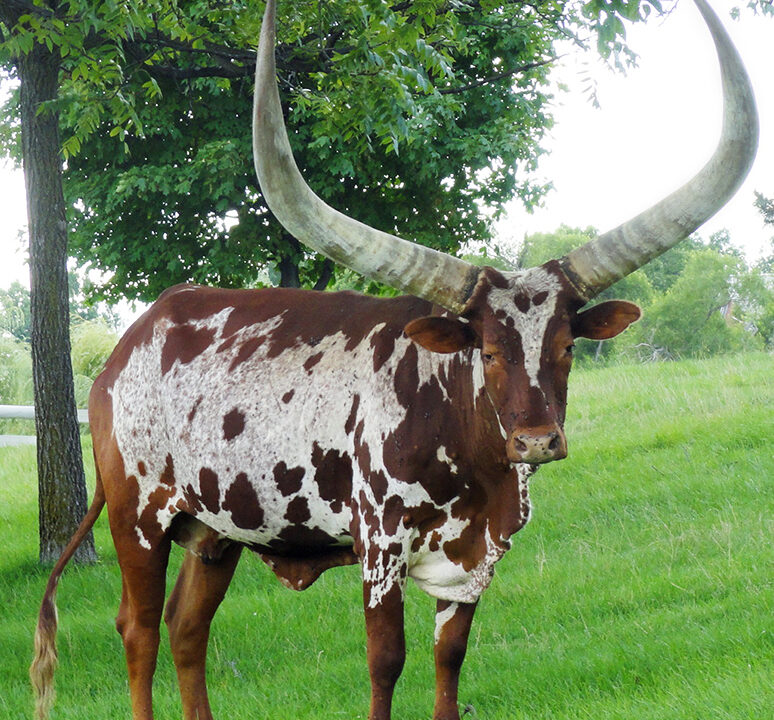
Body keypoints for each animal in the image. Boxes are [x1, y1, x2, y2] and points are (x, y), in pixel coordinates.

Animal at [30, 1, 757, 719]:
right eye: (486, 349)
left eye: (567, 346)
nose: (537, 441)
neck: (469, 450)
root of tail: (126, 345)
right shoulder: (381, 546)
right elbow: (386, 662)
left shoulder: (475, 560)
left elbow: (450, 660)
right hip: (138, 520)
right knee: (140, 630)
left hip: (216, 533)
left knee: (187, 628)